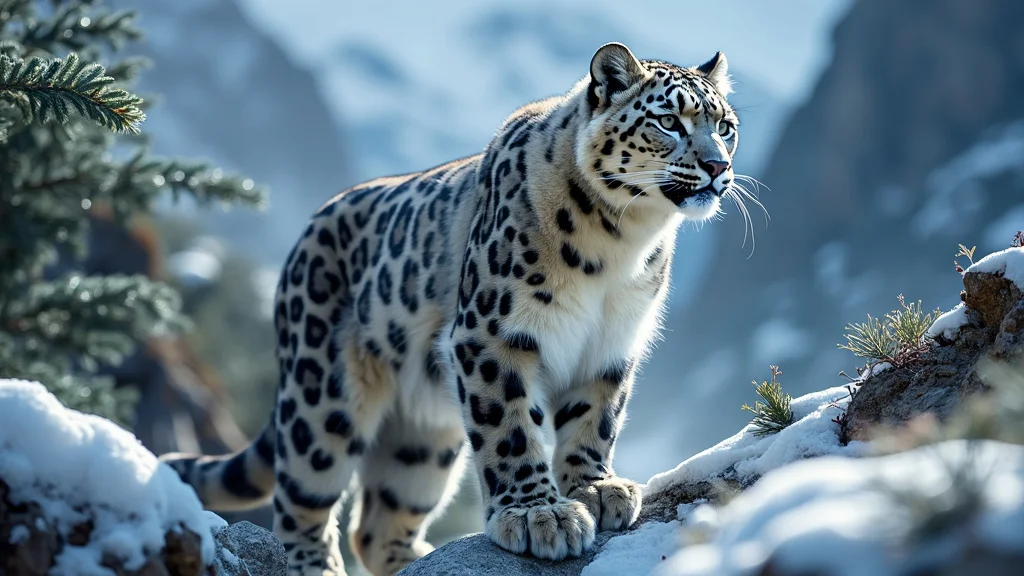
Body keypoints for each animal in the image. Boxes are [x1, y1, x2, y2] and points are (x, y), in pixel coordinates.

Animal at [161, 42, 746, 576]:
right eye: (669, 121)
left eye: (726, 126)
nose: (718, 166)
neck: (622, 243)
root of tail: (306, 231)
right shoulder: (493, 333)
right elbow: (511, 426)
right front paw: (538, 515)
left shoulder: (611, 345)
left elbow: (595, 419)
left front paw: (595, 488)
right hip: (322, 398)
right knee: (300, 502)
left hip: (423, 439)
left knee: (379, 521)